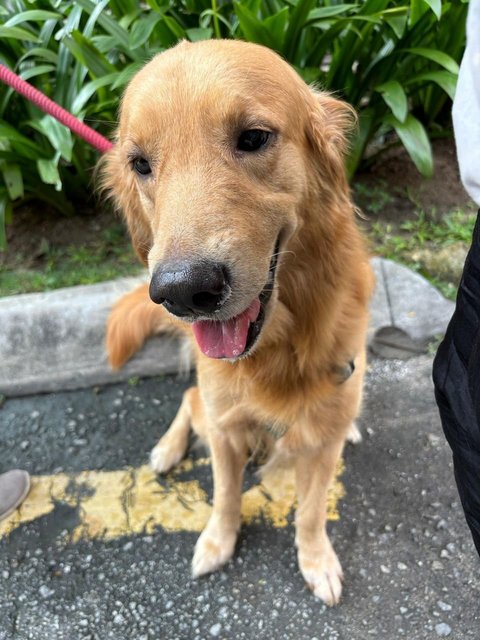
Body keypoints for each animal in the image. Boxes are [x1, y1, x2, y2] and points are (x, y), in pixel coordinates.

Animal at [103, 38, 376, 604]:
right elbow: (226, 495)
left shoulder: (323, 441)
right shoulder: (226, 428)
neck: (277, 346)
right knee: (190, 400)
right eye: (139, 164)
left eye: (253, 138)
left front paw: (316, 560)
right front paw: (217, 542)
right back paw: (167, 449)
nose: (182, 291)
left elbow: (311, 510)